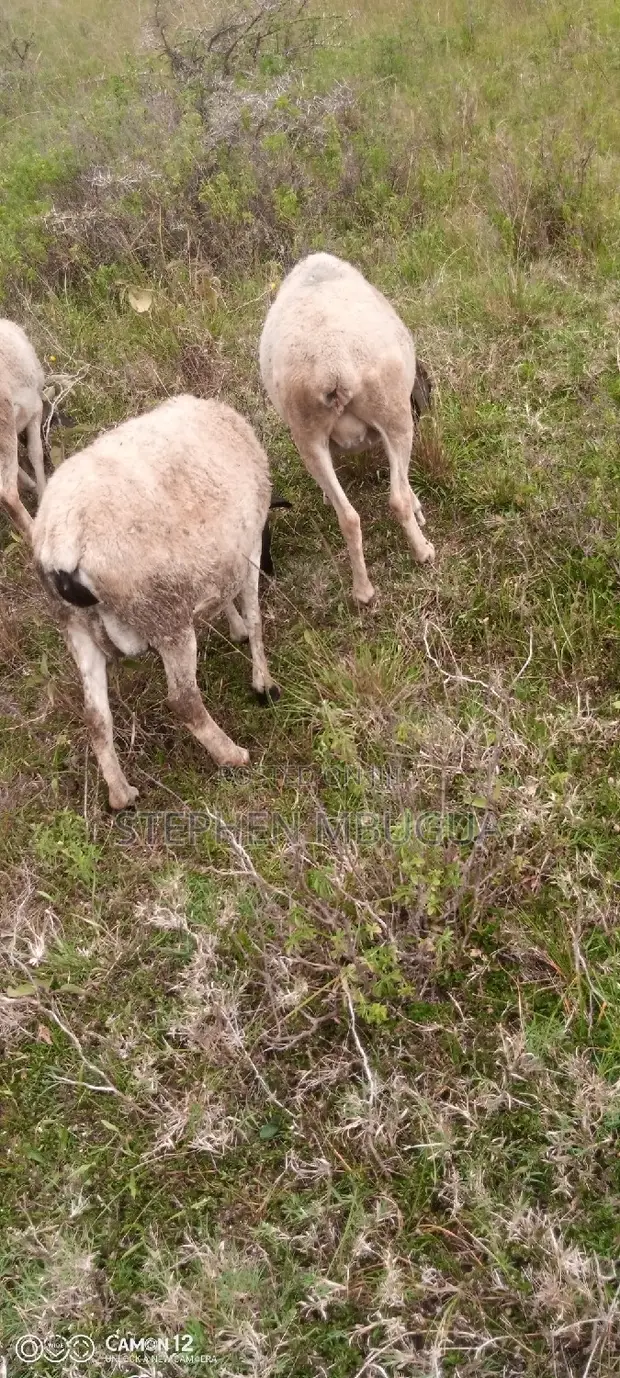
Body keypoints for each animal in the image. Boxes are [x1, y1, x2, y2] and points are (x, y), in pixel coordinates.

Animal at [33, 394, 280, 810]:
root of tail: (64, 540)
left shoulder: (219, 558)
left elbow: (226, 599)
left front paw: (235, 628)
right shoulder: (248, 553)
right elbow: (254, 614)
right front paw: (263, 682)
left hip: (75, 627)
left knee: (95, 717)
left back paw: (121, 794)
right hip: (163, 617)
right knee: (182, 699)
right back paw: (231, 755)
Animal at [259, 252, 435, 604]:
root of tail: (333, 367)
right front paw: (419, 509)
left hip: (308, 437)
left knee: (349, 518)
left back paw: (363, 591)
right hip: (393, 415)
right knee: (397, 500)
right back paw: (423, 552)